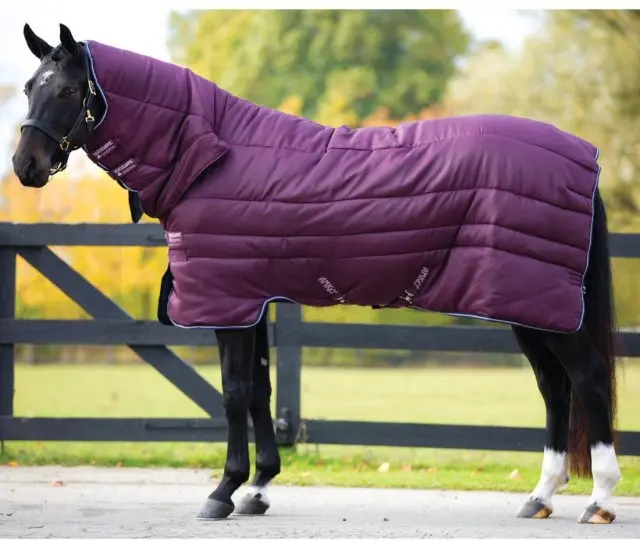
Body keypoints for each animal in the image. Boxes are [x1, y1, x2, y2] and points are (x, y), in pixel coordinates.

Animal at [12, 23, 622, 525]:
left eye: (68, 91)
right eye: (28, 87)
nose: (26, 166)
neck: (213, 156)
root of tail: (584, 155)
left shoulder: (227, 302)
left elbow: (233, 392)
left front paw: (223, 491)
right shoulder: (252, 302)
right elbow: (260, 389)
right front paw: (258, 488)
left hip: (542, 307)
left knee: (588, 380)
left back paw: (598, 500)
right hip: (527, 305)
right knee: (554, 389)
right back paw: (540, 497)